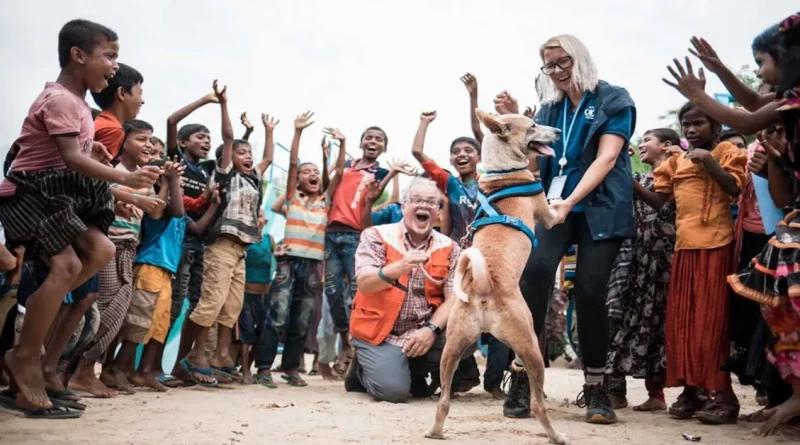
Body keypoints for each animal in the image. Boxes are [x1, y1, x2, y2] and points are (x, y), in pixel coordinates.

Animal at [424, 109, 568, 442]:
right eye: (533, 127)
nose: (557, 131)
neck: (503, 172)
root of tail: (483, 285)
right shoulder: (548, 215)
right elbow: (559, 207)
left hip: (452, 347)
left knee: (443, 400)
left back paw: (435, 431)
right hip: (530, 346)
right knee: (539, 404)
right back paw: (556, 435)